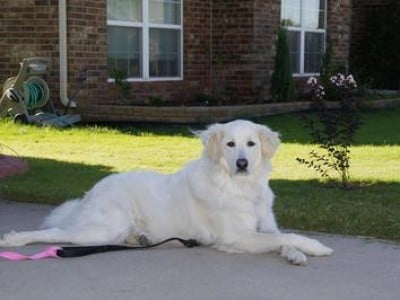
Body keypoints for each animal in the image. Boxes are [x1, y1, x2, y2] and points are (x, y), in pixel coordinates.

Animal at [0, 119, 332, 264]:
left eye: (251, 144)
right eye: (230, 144)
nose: (242, 163)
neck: (240, 187)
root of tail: (95, 189)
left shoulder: (265, 226)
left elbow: (282, 238)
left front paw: (296, 254)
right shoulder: (238, 237)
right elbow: (288, 236)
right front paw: (316, 246)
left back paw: (141, 238)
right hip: (100, 230)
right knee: (56, 233)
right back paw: (15, 239)